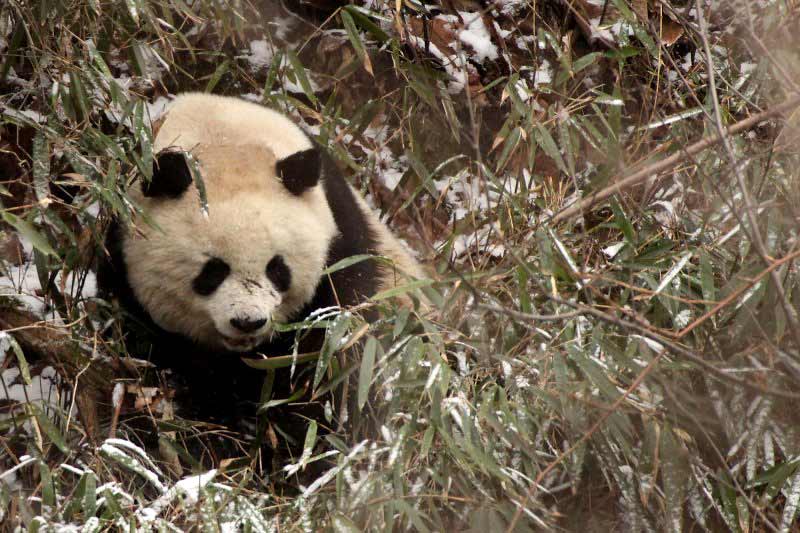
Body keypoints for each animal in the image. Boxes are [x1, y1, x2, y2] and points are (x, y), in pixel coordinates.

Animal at [96, 91, 424, 432]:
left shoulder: (342, 247)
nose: (247, 321)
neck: (225, 139)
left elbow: (337, 350)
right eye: (213, 271)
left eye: (277, 269)